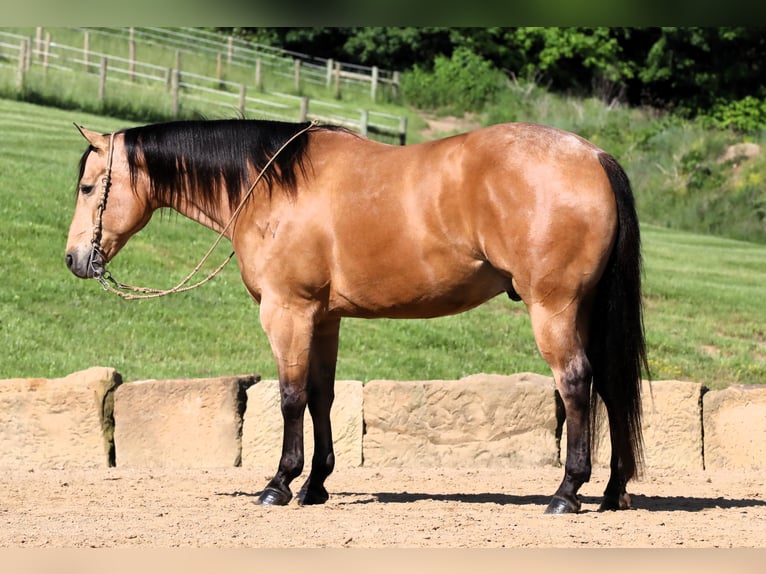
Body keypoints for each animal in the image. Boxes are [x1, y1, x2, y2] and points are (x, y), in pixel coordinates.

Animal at [67, 119, 648, 516]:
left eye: (89, 187)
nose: (75, 259)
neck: (273, 186)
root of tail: (593, 155)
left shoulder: (287, 312)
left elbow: (290, 396)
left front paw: (279, 484)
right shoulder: (324, 319)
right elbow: (321, 396)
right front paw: (315, 485)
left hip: (554, 309)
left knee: (575, 384)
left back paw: (567, 493)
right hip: (587, 312)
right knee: (611, 387)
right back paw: (613, 492)